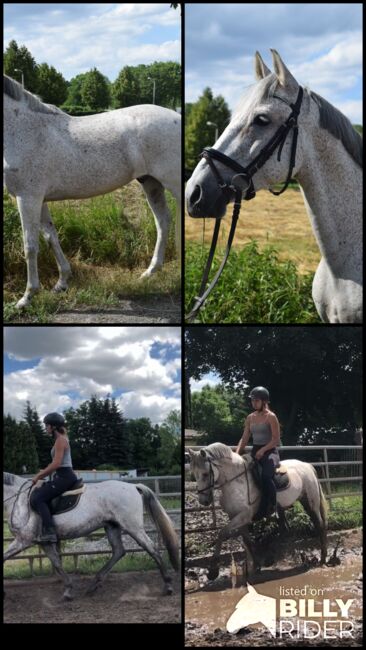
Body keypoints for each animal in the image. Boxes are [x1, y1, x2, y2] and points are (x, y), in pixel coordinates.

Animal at [3, 470, 179, 596]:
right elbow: (57, 564)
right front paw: (68, 589)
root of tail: (133, 486)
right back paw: (94, 584)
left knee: (152, 549)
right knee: (119, 551)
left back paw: (168, 585)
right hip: (112, 527)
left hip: (133, 527)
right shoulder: (43, 542)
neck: (19, 501)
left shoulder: (23, 540)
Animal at [4, 74, 182, 308]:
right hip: (150, 182)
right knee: (162, 221)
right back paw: (150, 272)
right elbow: (51, 237)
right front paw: (61, 283)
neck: (23, 129)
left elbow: (30, 246)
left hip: (173, 183)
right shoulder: (39, 200)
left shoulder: (27, 198)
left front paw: (27, 297)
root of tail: (177, 116)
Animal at [187, 446, 328, 576]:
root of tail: (307, 466)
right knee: (285, 530)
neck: (236, 483)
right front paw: (255, 565)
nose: (204, 501)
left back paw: (323, 558)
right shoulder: (237, 517)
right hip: (284, 508)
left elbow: (221, 533)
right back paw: (271, 558)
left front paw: (213, 570)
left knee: (319, 525)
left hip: (310, 503)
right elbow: (247, 541)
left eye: (205, 474)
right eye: (194, 474)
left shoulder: (243, 516)